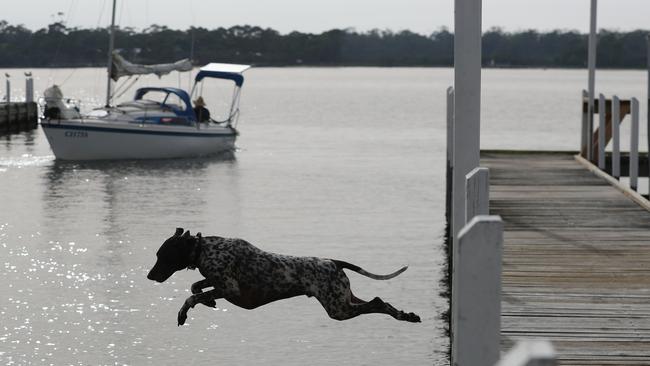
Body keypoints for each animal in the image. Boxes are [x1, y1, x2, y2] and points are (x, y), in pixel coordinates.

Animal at [147, 227, 420, 324]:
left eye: (162, 256)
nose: (149, 276)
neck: (203, 249)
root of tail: (333, 262)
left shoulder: (229, 288)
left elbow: (191, 297)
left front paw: (184, 312)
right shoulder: (216, 282)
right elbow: (196, 286)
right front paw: (208, 300)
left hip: (338, 308)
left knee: (377, 302)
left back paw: (405, 316)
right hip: (345, 299)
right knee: (380, 303)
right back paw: (406, 315)